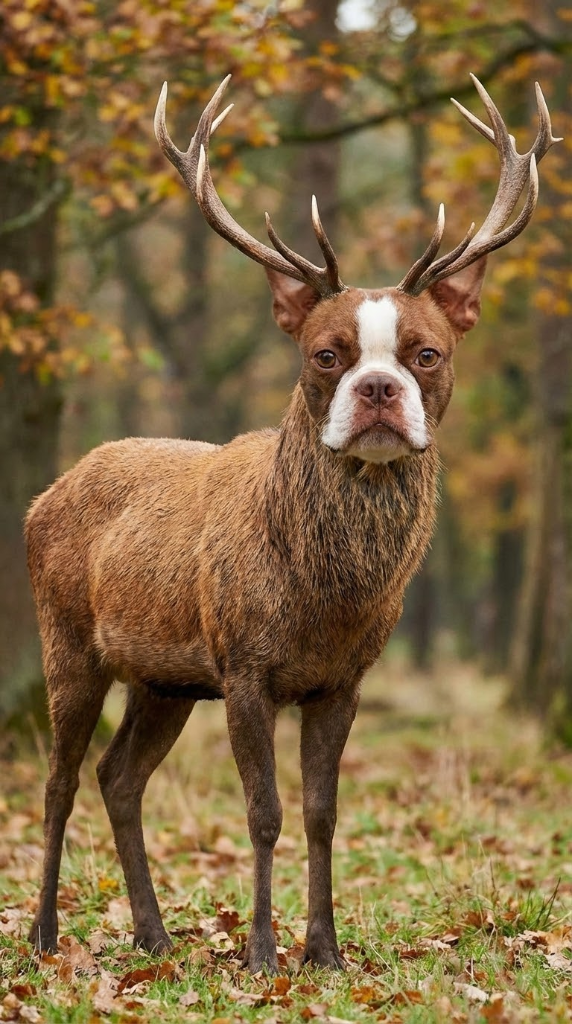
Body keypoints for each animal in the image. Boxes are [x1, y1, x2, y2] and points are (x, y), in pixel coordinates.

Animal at [26, 74, 560, 972]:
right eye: (325, 352)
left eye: (427, 353)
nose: (378, 389)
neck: (324, 601)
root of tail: (42, 496)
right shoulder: (244, 665)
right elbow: (264, 813)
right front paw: (263, 952)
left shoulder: (343, 679)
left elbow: (321, 813)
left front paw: (326, 950)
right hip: (67, 639)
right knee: (60, 779)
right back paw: (42, 935)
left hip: (164, 678)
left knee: (118, 777)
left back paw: (153, 933)